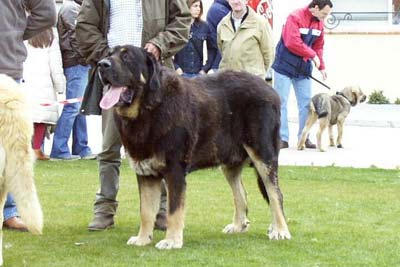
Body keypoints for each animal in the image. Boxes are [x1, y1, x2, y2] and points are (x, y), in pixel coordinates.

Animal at [97, 45, 290, 251]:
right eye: (109, 54)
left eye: (127, 56)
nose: (101, 64)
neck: (148, 109)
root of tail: (270, 89)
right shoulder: (145, 173)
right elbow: (146, 211)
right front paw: (143, 239)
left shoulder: (175, 170)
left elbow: (174, 210)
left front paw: (172, 240)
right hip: (229, 162)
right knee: (241, 194)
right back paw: (239, 226)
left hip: (263, 155)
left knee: (275, 194)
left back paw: (280, 230)